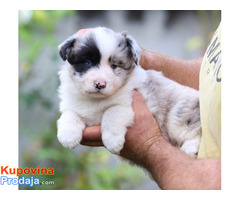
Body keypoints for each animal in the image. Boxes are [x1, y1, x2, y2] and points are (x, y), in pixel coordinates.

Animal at [57, 27, 202, 158]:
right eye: (87, 62)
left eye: (114, 66)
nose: (100, 84)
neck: (95, 99)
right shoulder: (72, 104)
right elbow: (69, 115)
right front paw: (68, 136)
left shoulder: (127, 103)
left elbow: (112, 112)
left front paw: (112, 141)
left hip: (178, 117)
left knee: (197, 131)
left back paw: (190, 148)